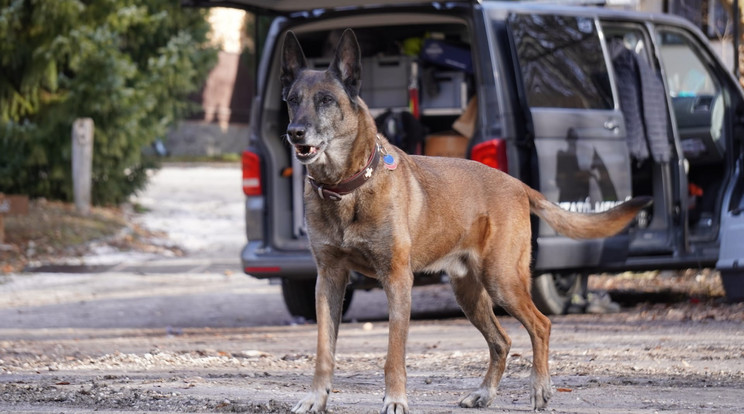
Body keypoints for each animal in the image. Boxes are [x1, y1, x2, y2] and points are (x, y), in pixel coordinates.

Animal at [282, 27, 648, 412]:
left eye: (326, 100)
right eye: (292, 99)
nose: (295, 132)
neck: (347, 186)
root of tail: (517, 184)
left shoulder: (396, 279)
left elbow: (394, 354)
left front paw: (395, 399)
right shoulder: (329, 279)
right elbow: (324, 349)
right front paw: (316, 397)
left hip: (502, 279)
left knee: (541, 325)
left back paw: (540, 388)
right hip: (469, 291)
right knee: (502, 341)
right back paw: (485, 392)